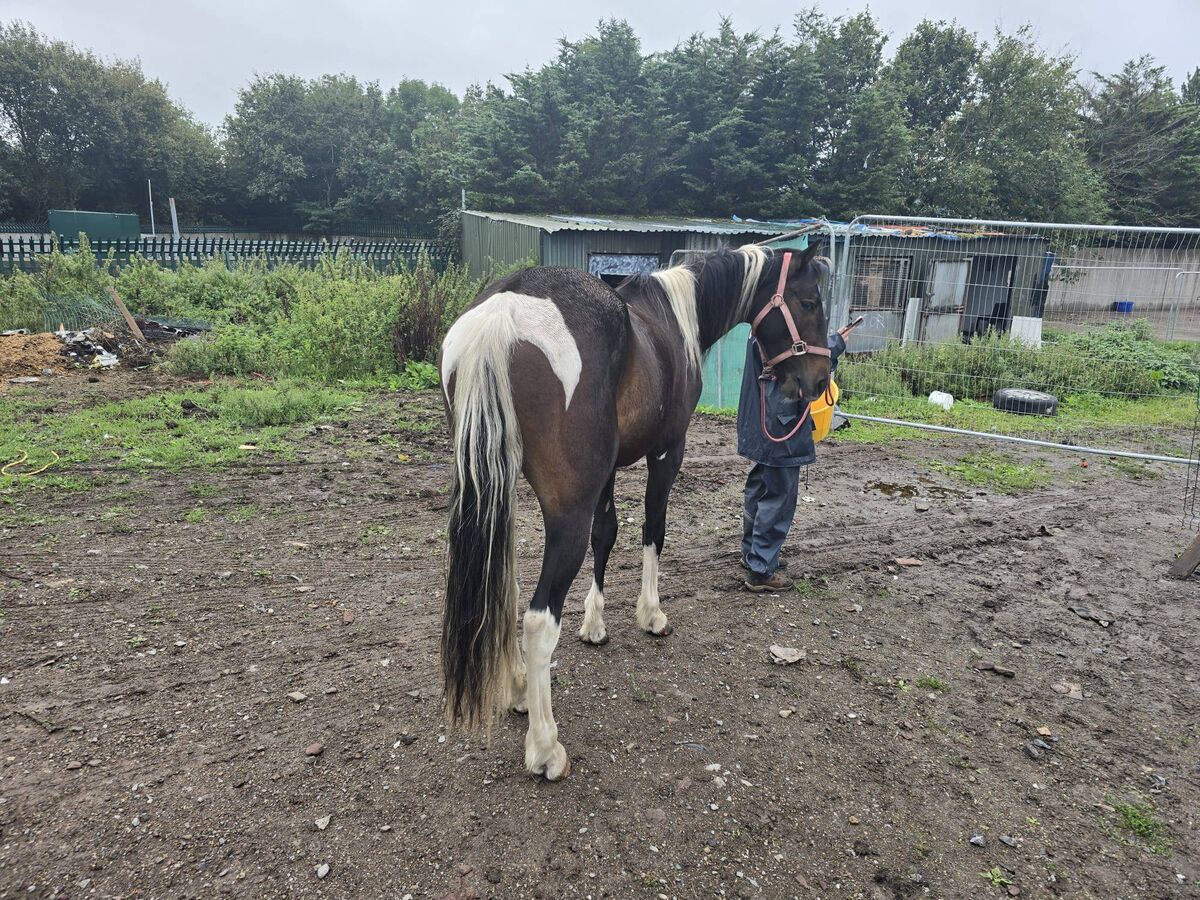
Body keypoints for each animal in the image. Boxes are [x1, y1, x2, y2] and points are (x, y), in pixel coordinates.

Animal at [439, 241, 832, 780]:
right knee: (538, 619)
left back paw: (518, 691)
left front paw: (594, 624)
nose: (819, 380)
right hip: (566, 511)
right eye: (809, 302)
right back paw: (544, 746)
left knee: (507, 587)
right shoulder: (667, 451)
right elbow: (653, 528)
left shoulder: (608, 470)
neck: (673, 317)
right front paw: (651, 614)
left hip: (497, 488)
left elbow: (607, 534)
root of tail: (504, 311)